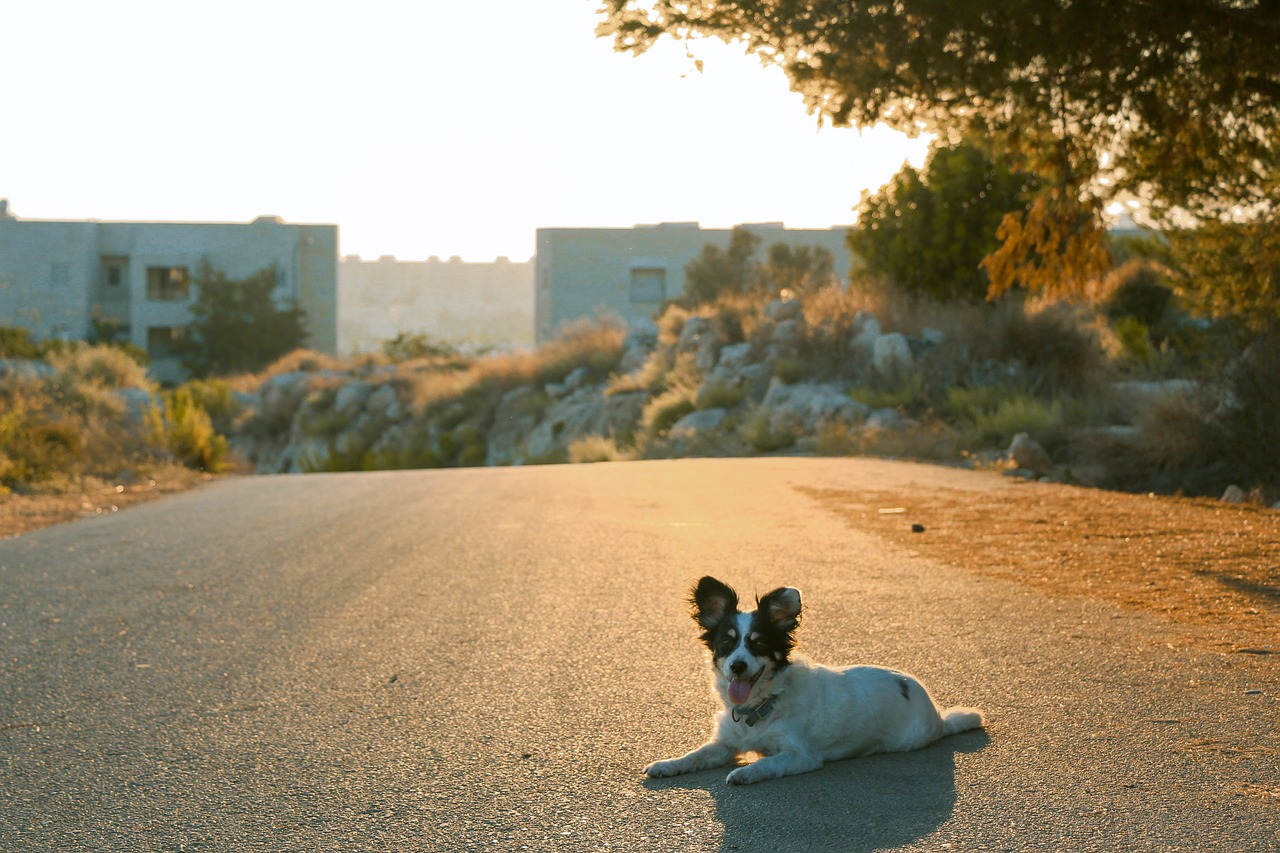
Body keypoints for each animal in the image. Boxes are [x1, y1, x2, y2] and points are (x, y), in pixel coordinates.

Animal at [645, 573, 983, 778]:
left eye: (759, 644)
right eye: (725, 644)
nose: (737, 666)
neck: (761, 706)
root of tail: (937, 715)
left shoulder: (800, 756)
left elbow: (767, 762)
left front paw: (744, 773)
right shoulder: (724, 745)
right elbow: (694, 755)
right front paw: (667, 765)